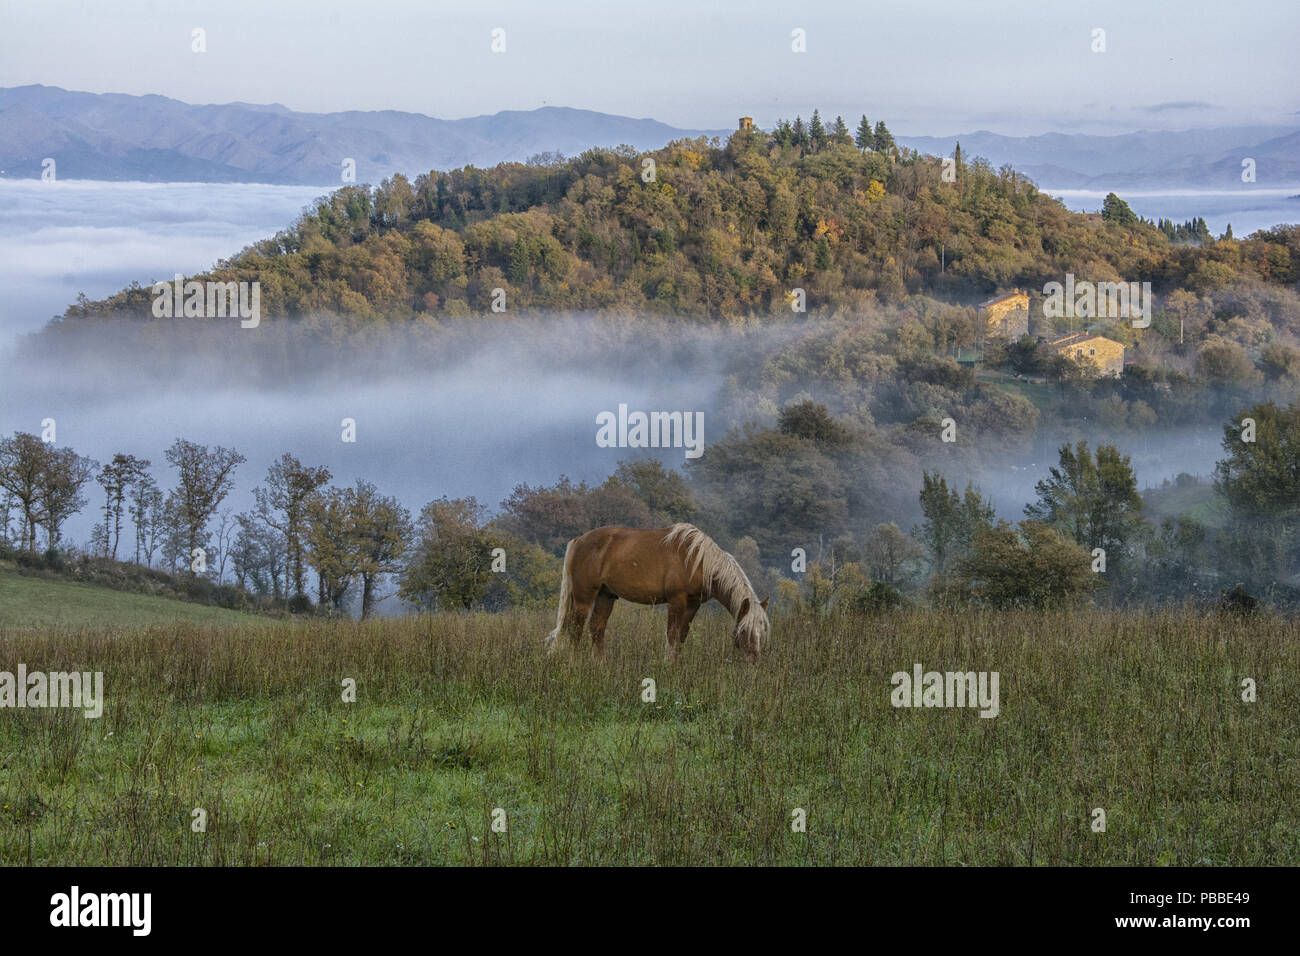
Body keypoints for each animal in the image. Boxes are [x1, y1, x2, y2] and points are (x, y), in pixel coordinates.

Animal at [543, 522, 764, 665]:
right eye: (744, 630)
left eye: (761, 631)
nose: (754, 660)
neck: (699, 561)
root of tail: (578, 540)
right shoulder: (676, 600)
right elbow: (672, 634)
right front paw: (668, 664)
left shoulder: (693, 604)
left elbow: (682, 635)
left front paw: (676, 664)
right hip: (584, 596)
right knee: (576, 628)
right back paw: (574, 664)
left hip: (606, 595)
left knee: (596, 627)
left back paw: (601, 664)